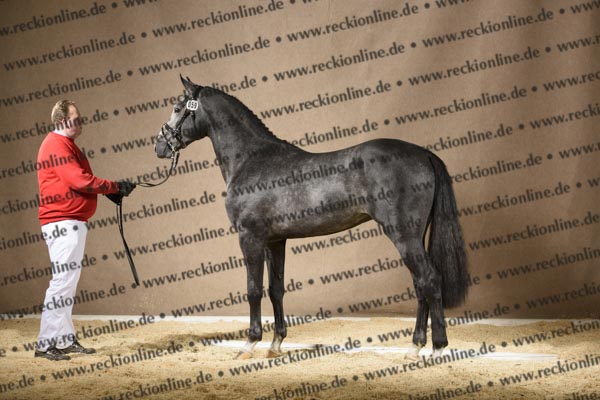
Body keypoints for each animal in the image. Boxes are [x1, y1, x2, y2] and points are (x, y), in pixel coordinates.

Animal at [153, 76, 469, 360]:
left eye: (178, 108)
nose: (159, 146)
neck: (252, 161)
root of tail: (424, 154)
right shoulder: (275, 241)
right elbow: (276, 289)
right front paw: (275, 344)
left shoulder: (249, 237)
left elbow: (253, 290)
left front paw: (250, 344)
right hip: (414, 235)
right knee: (420, 285)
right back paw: (414, 347)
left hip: (402, 233)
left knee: (429, 279)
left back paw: (437, 347)